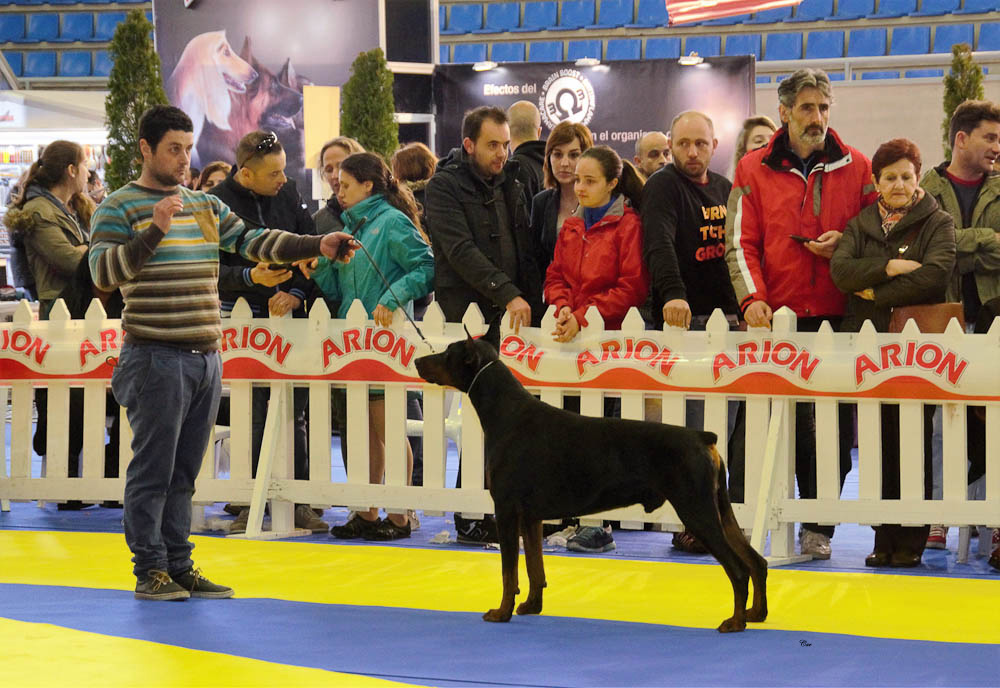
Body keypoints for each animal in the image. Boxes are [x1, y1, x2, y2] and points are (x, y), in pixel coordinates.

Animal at [414, 322, 768, 632]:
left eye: (447, 353)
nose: (418, 360)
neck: (506, 413)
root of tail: (703, 437)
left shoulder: (506, 510)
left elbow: (509, 572)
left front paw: (502, 612)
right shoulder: (530, 516)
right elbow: (534, 567)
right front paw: (531, 605)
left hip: (696, 509)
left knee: (738, 569)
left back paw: (736, 622)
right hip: (719, 508)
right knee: (757, 561)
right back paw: (756, 613)